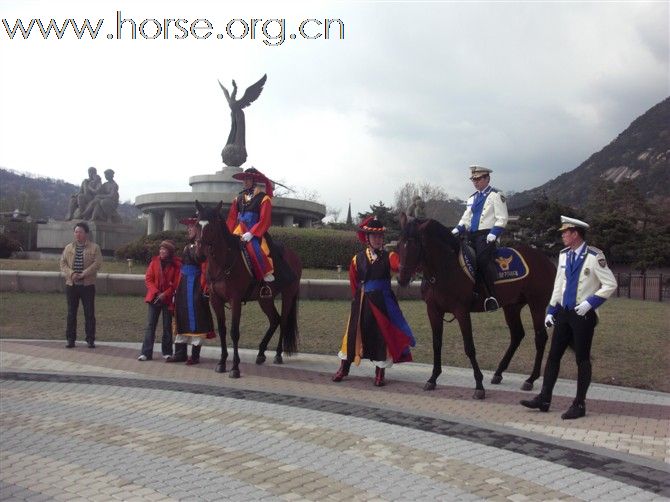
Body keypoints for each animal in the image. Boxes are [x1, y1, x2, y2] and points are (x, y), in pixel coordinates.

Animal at [193, 200, 300, 376]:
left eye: (212, 226)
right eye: (196, 224)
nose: (198, 255)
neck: (223, 263)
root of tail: (294, 254)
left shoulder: (235, 300)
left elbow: (234, 332)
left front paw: (235, 367)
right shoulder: (216, 300)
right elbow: (222, 330)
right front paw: (222, 362)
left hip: (288, 295)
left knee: (283, 321)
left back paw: (278, 354)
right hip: (265, 299)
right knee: (274, 320)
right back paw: (261, 353)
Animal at [400, 214, 556, 398]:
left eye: (415, 244)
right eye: (400, 244)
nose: (402, 279)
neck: (445, 268)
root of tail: (545, 260)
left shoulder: (461, 311)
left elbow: (469, 347)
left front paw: (479, 385)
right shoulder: (433, 311)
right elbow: (436, 344)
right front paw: (433, 378)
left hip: (537, 304)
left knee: (540, 337)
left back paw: (531, 379)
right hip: (512, 306)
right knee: (517, 335)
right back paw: (499, 373)